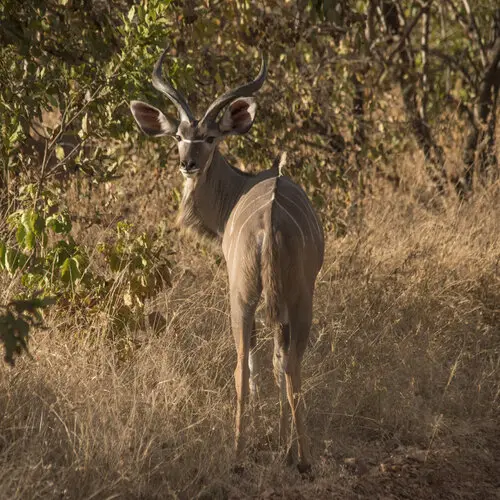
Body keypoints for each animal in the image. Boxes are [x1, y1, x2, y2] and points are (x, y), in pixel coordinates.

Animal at [129, 47, 324, 472]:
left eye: (210, 137)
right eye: (179, 136)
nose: (187, 163)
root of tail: (269, 223)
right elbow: (273, 362)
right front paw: (280, 444)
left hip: (248, 298)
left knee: (252, 367)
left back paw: (250, 457)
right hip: (285, 299)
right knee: (281, 364)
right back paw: (293, 457)